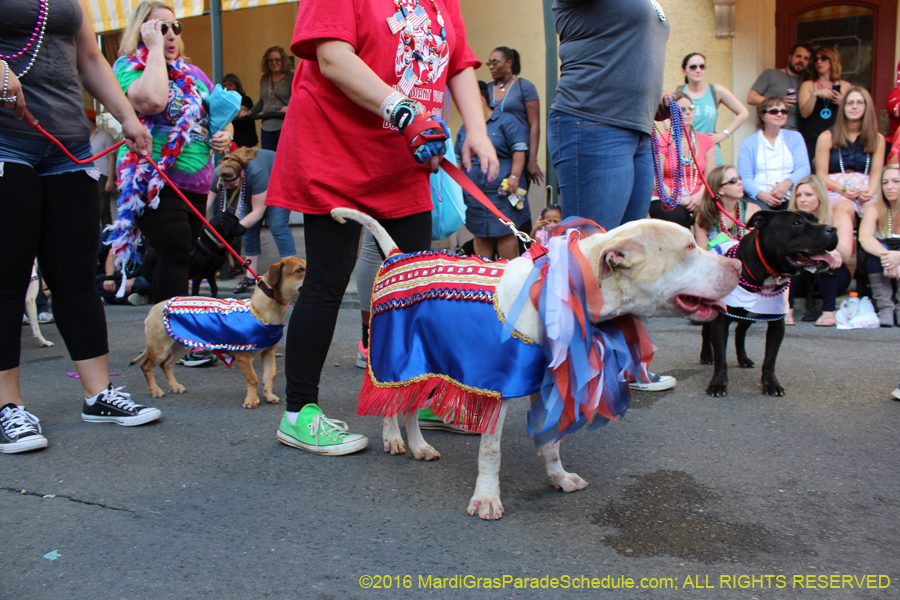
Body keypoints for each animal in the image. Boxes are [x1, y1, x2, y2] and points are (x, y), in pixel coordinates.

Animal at [704, 211, 836, 398]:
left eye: (816, 220)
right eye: (797, 223)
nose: (832, 229)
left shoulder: (777, 324)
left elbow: (770, 359)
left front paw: (771, 384)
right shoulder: (721, 321)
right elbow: (720, 356)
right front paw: (717, 383)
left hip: (750, 315)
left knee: (740, 332)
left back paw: (743, 358)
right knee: (705, 332)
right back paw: (706, 356)